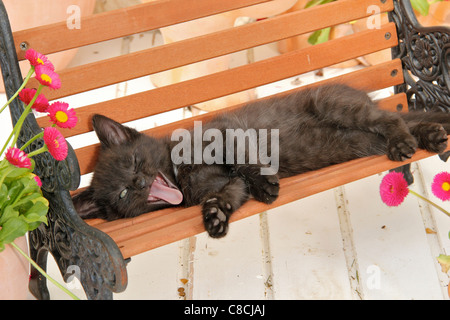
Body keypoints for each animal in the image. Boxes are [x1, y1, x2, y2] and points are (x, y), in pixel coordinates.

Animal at [72, 84, 448, 238]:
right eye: (123, 193)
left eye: (136, 161)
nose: (138, 182)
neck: (181, 176)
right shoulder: (228, 184)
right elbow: (229, 192)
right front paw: (215, 218)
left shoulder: (225, 133)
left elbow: (243, 160)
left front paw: (265, 184)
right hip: (360, 141)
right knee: (405, 122)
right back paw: (431, 135)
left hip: (337, 106)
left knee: (392, 119)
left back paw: (405, 141)